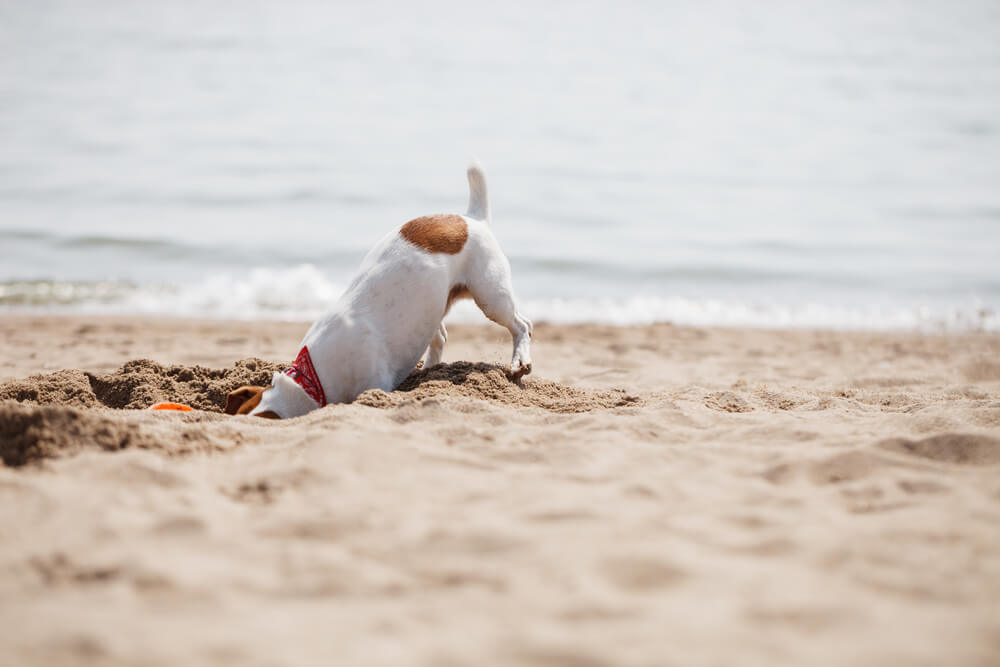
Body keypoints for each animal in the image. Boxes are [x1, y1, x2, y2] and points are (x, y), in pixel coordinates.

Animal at [226, 162, 532, 420]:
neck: (311, 380)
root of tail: (472, 219)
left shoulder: (375, 383)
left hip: (490, 295)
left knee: (522, 325)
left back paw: (520, 360)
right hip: (433, 307)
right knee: (440, 336)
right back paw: (429, 371)